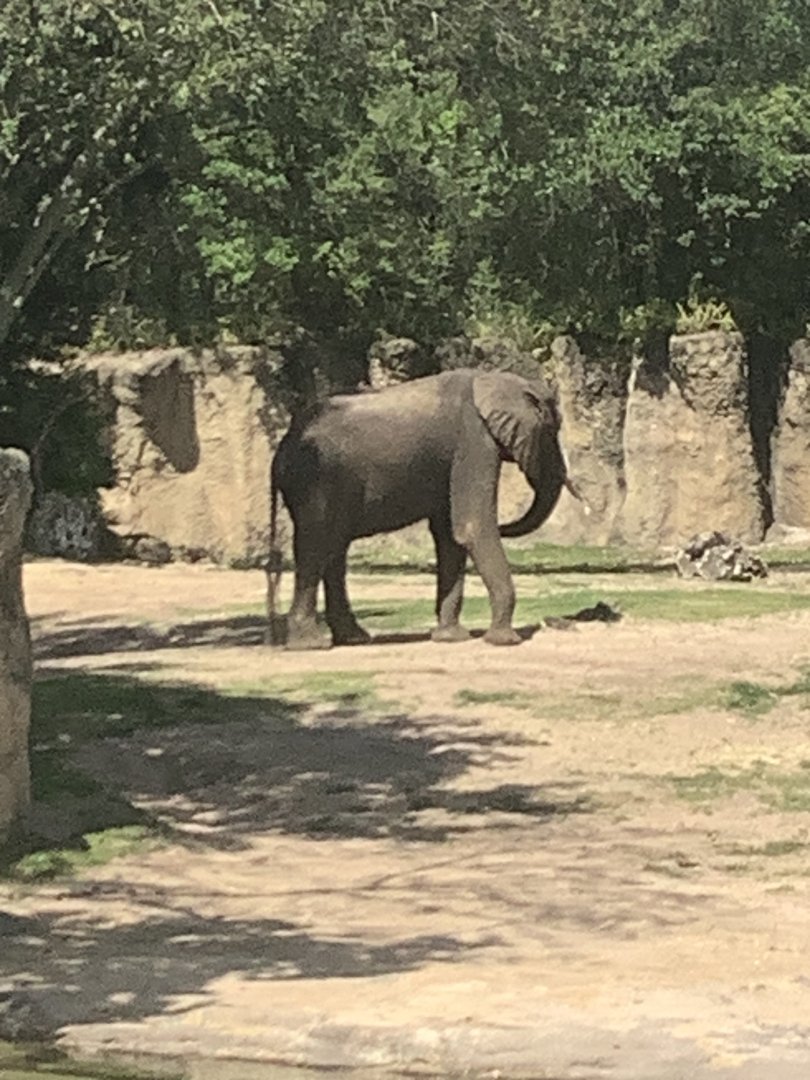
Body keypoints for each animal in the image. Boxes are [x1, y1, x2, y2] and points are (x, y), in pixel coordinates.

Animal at [267, 368, 568, 649]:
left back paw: (354, 638)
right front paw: (504, 641)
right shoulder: (473, 439)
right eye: (552, 431)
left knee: (334, 548)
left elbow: (449, 535)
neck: (492, 378)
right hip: (314, 479)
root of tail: (282, 449)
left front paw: (451, 638)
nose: (506, 526)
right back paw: (310, 644)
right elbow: (471, 526)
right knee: (315, 545)